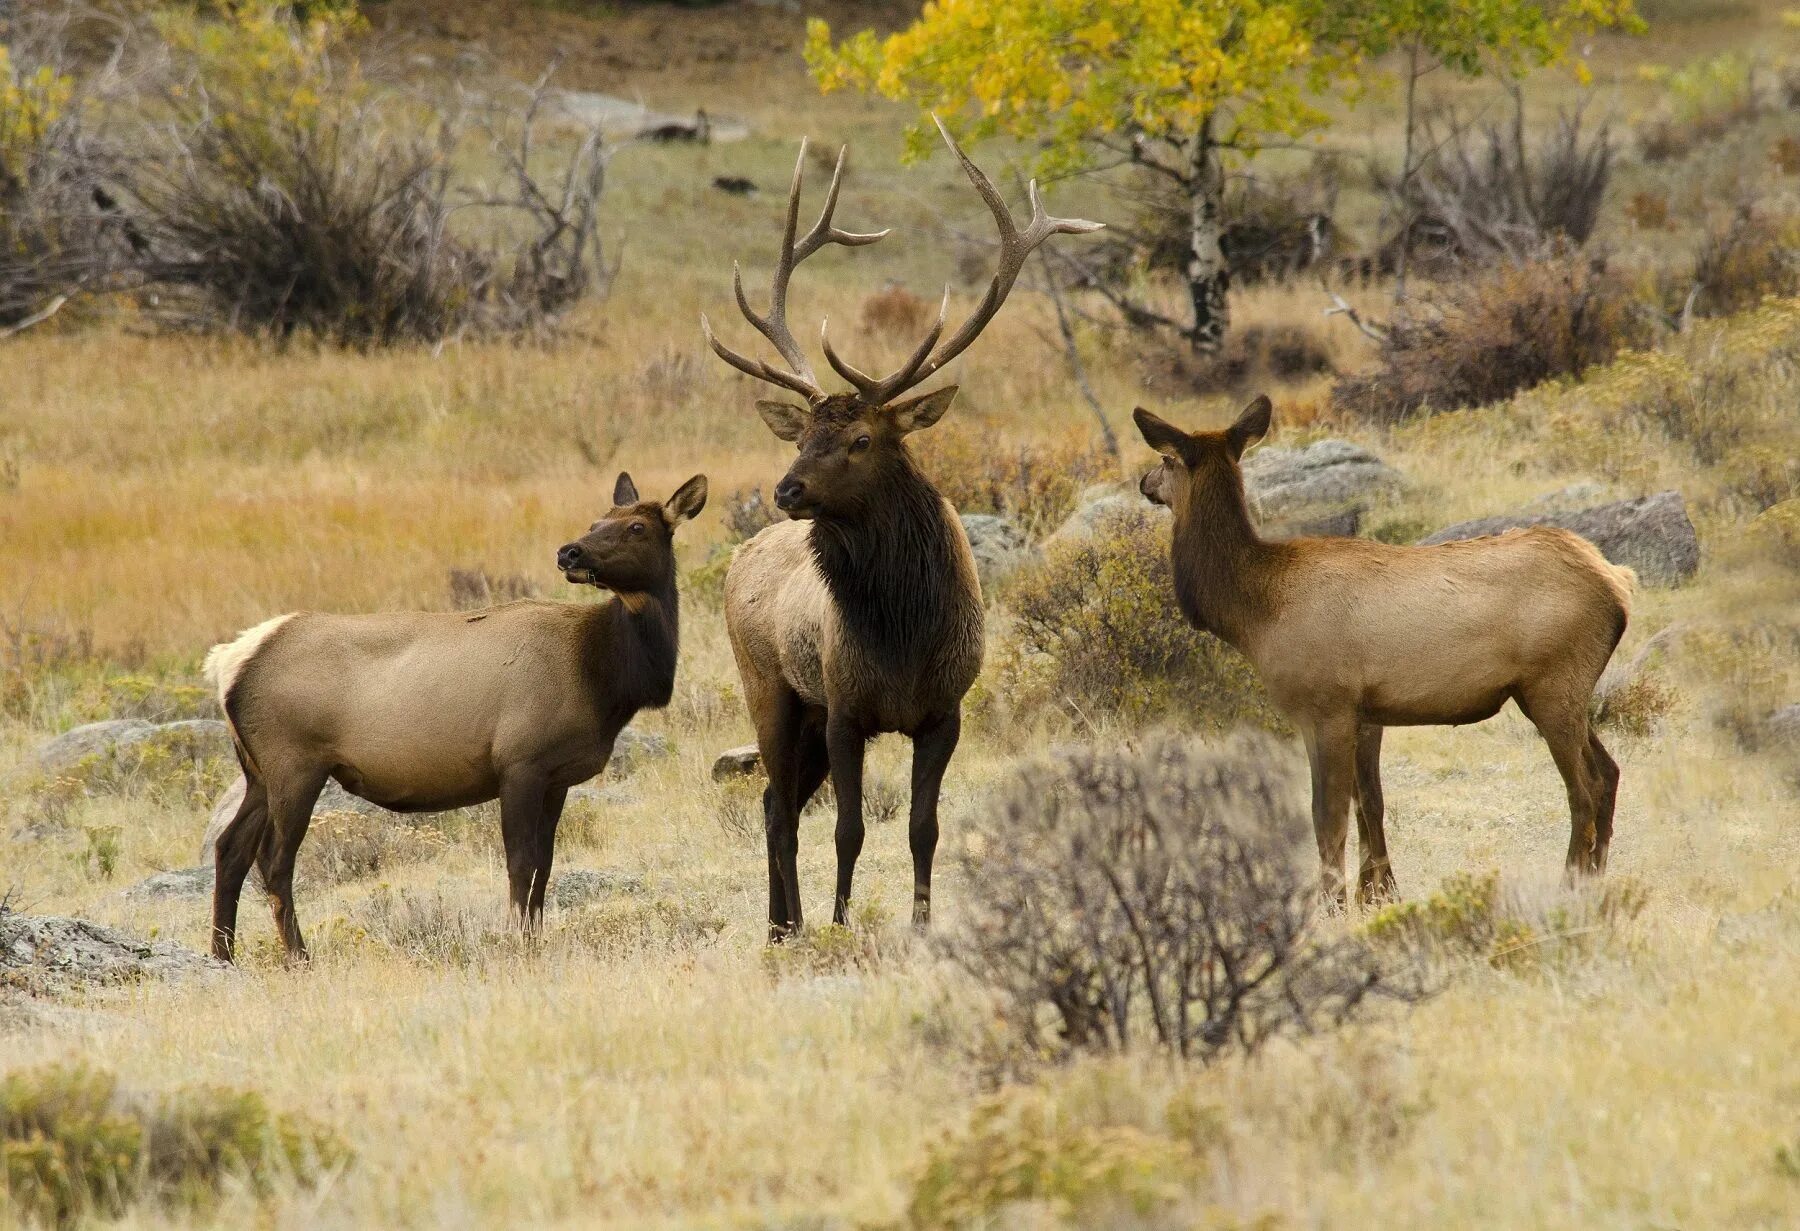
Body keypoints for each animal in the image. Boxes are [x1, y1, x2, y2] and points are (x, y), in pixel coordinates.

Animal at [197, 471, 702, 964]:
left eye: (635, 526)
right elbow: (521, 863)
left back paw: (223, 955)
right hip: (294, 763)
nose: (569, 551)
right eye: (597, 522)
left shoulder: (556, 776)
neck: (605, 679)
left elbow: (546, 864)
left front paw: (536, 940)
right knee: (273, 859)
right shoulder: (520, 761)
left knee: (230, 847)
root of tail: (227, 664)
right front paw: (520, 946)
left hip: (258, 771)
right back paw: (299, 957)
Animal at [698, 120, 1094, 935]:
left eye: (860, 440)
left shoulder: (944, 712)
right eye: (801, 434)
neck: (904, 635)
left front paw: (920, 921)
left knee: (773, 800)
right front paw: (841, 923)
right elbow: (849, 828)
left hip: (806, 712)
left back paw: (781, 922)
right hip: (771, 688)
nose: (785, 488)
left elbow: (922, 826)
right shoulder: (847, 708)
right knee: (779, 809)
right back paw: (788, 926)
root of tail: (742, 552)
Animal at [1137, 399, 1634, 899]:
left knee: (1585, 788)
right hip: (1550, 692)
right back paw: (1596, 880)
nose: (1143, 482)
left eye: (1166, 458)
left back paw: (1569, 884)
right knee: (1609, 773)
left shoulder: (1326, 706)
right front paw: (1378, 893)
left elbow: (1327, 816)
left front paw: (1333, 901)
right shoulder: (1366, 713)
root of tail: (1618, 585)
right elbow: (1370, 805)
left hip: (1554, 681)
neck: (1255, 612)